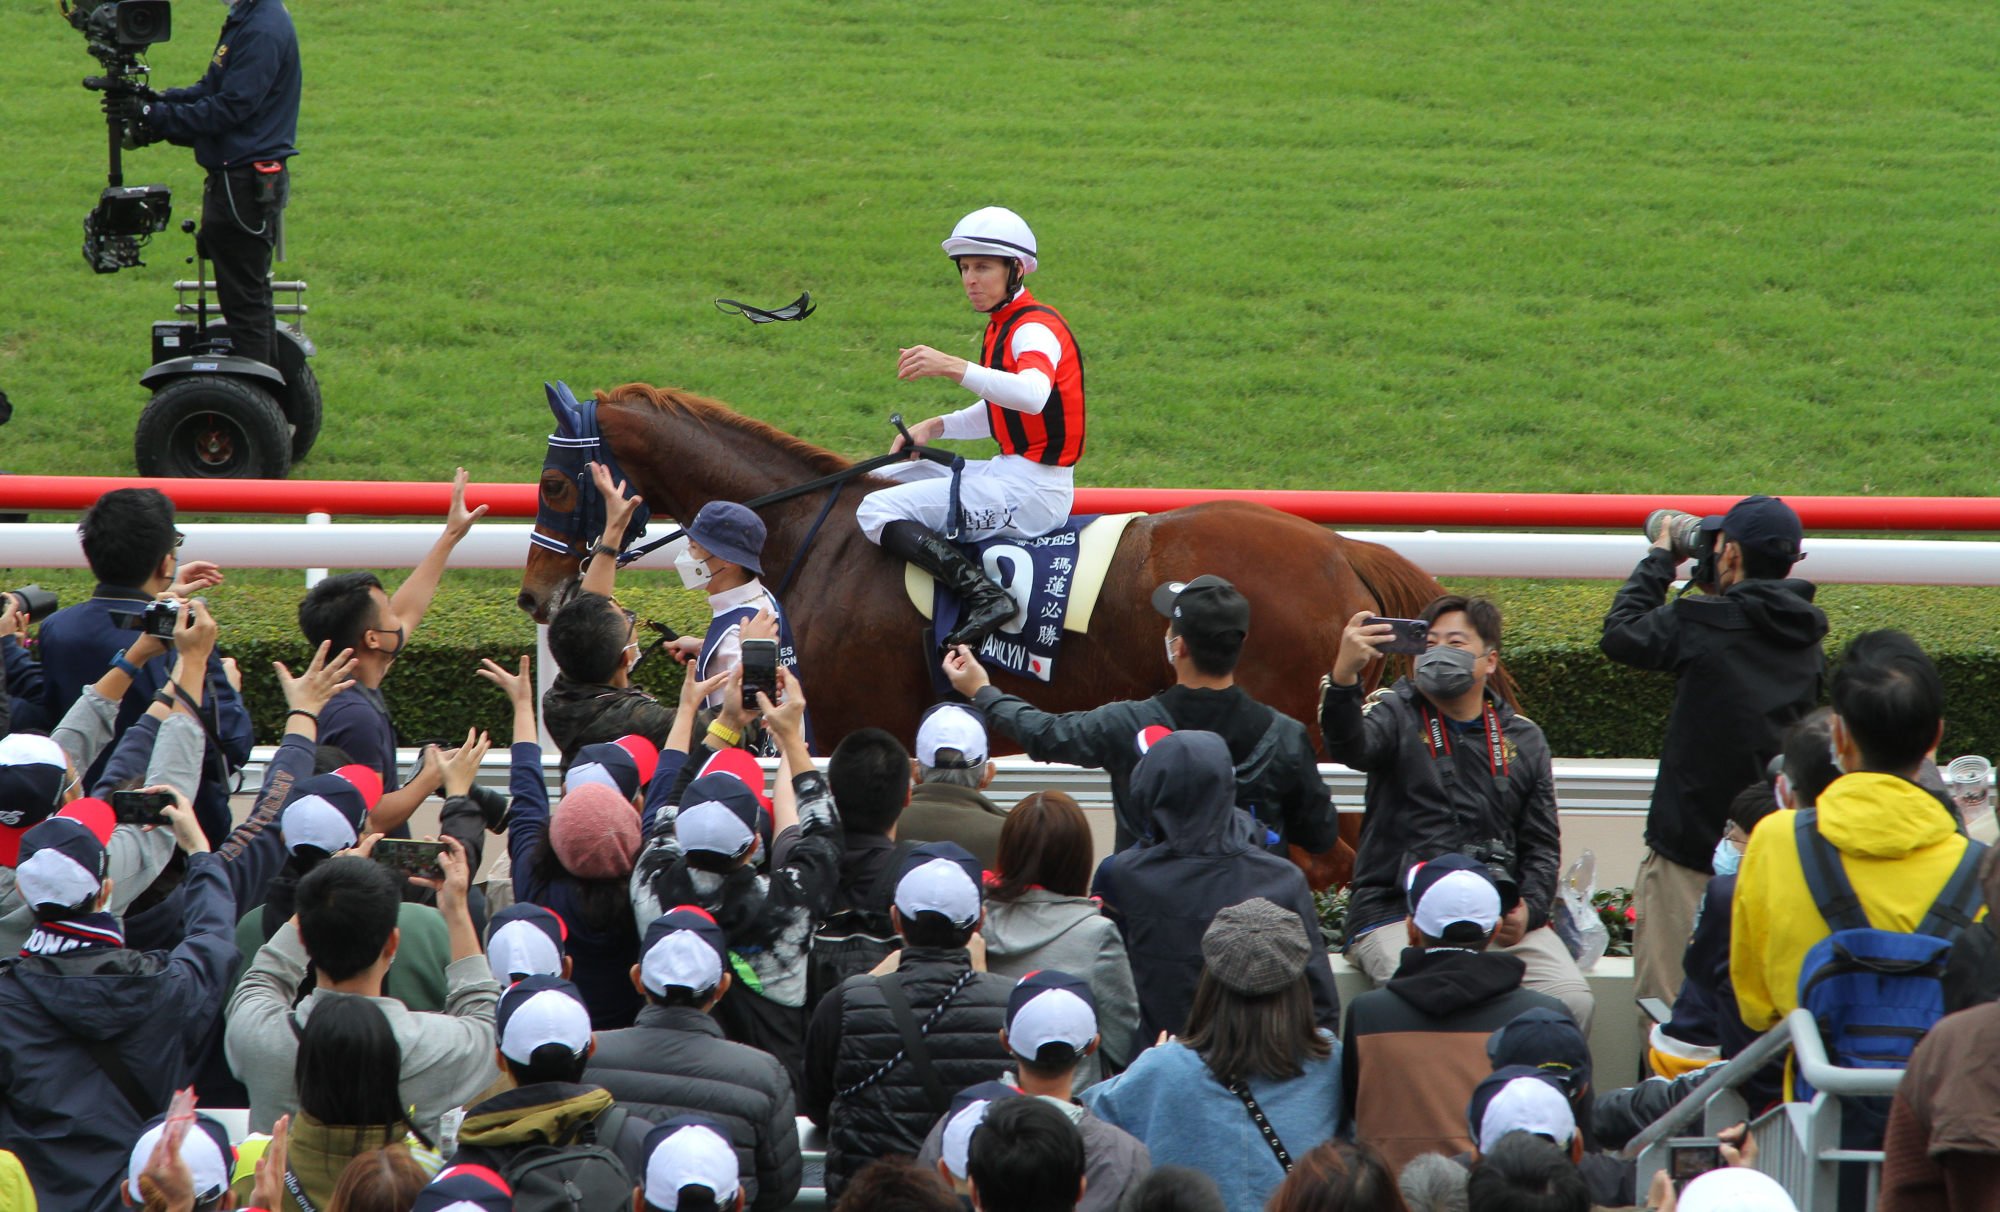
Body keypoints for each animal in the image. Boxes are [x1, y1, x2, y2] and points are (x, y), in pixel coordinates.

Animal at [516, 380, 1456, 884]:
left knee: (1330, 855)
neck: (815, 535)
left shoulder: (848, 721)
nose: (534, 596)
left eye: (556, 485)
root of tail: (1339, 549)